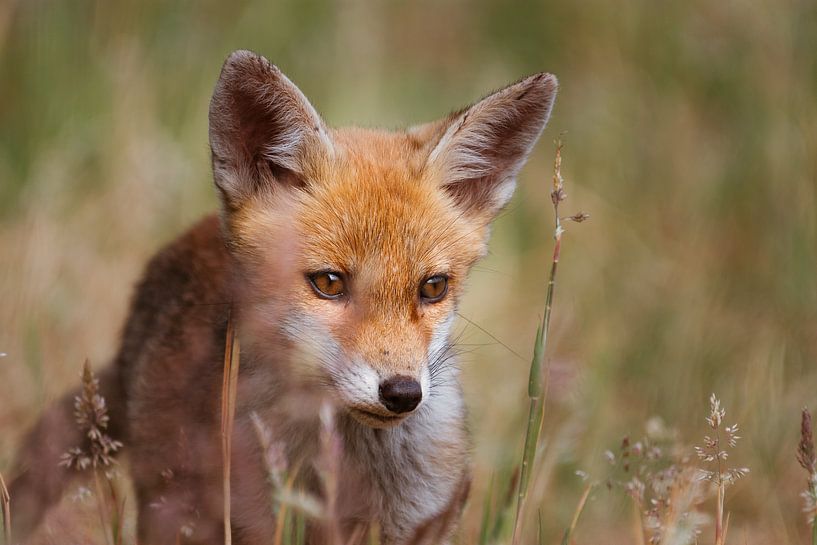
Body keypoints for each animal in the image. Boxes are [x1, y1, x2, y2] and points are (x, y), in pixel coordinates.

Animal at [7, 50, 557, 544]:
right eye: (329, 283)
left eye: (433, 287)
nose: (402, 393)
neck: (342, 475)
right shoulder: (252, 522)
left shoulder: (421, 521)